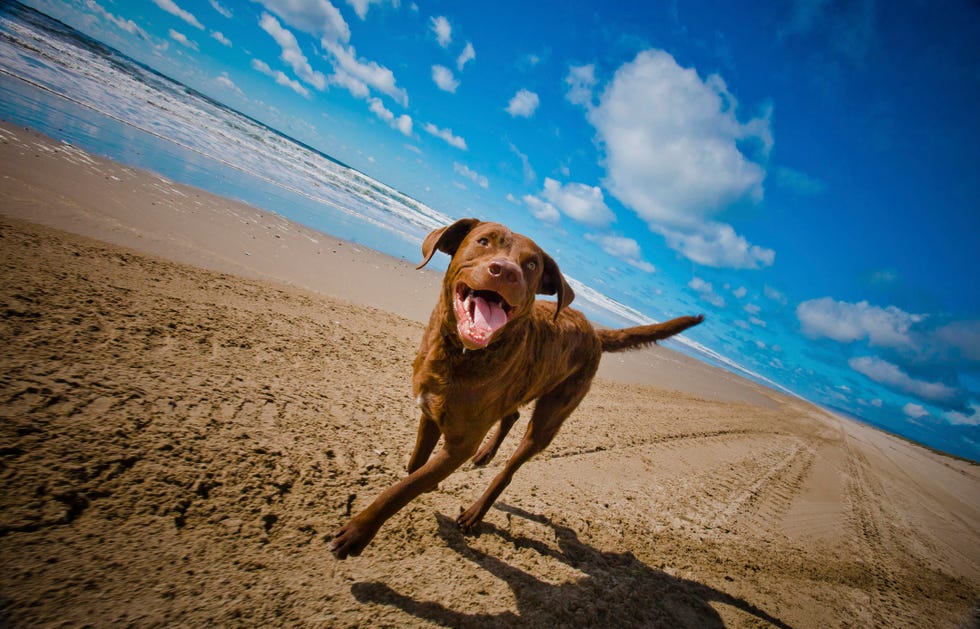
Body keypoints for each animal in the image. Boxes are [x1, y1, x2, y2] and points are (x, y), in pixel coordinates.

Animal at [334, 218, 700, 556]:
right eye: (483, 241)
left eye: (532, 265)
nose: (505, 271)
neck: (461, 355)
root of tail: (595, 332)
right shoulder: (430, 410)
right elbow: (414, 468)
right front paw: (421, 482)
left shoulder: (459, 445)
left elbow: (404, 488)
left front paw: (359, 530)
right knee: (510, 415)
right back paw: (486, 454)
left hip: (549, 420)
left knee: (510, 467)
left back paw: (476, 512)